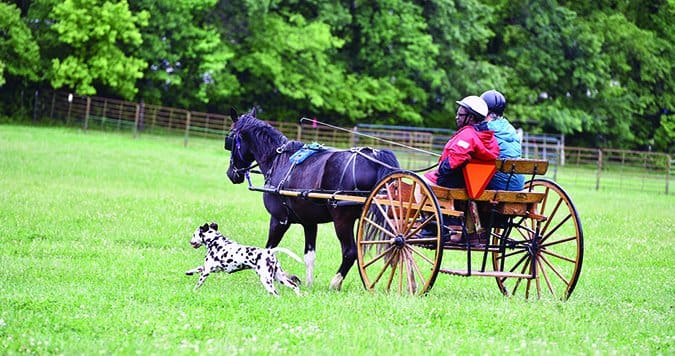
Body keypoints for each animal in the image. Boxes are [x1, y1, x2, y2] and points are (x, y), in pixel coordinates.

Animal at [226, 108, 402, 290]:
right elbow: (309, 255)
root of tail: (375, 156)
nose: (231, 174)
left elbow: (269, 250)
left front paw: (279, 276)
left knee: (350, 251)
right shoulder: (309, 222)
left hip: (342, 220)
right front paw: (307, 284)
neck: (278, 161)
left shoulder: (279, 219)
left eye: (230, 137)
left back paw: (335, 282)